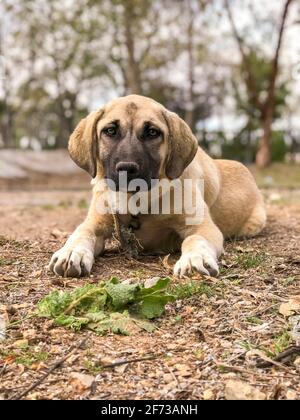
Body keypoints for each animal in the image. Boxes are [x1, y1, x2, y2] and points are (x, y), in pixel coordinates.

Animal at [49, 95, 268, 278]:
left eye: (152, 132)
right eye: (110, 131)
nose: (126, 168)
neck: (135, 199)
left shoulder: (202, 226)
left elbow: (194, 240)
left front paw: (194, 259)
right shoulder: (96, 223)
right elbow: (80, 233)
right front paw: (71, 252)